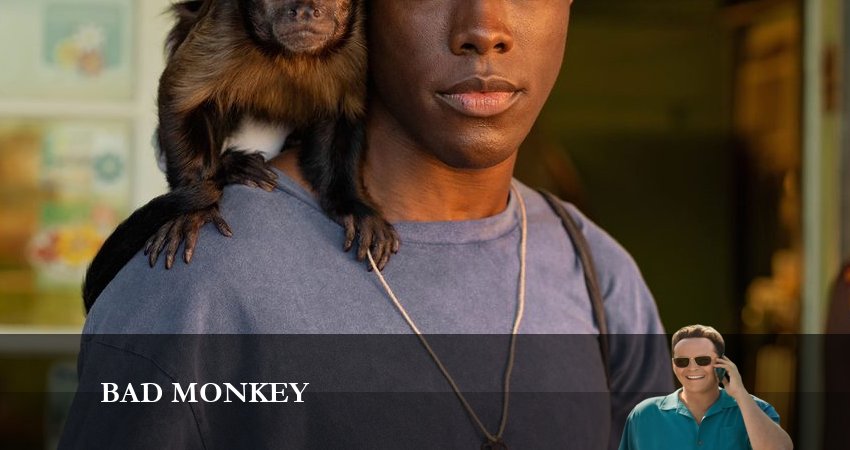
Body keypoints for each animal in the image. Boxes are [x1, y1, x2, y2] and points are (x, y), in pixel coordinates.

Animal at [82, 0, 399, 312]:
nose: (306, 10)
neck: (291, 58)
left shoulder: (356, 41)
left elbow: (343, 113)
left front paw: (352, 207)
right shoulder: (224, 25)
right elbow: (179, 99)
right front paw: (192, 210)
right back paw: (231, 167)